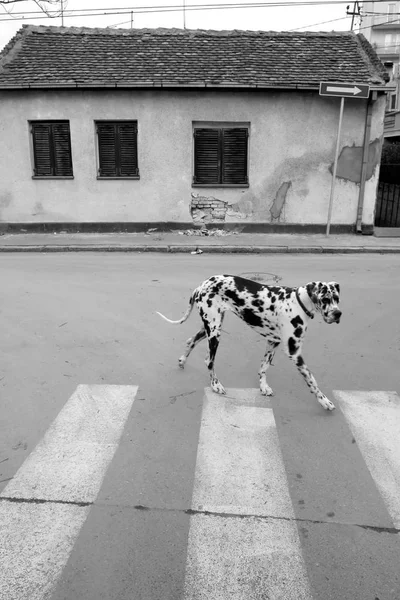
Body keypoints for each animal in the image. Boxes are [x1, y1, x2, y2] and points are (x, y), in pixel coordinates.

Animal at [156, 274, 340, 410]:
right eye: (325, 299)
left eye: (337, 298)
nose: (338, 314)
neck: (298, 303)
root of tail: (201, 285)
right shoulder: (294, 351)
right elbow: (312, 380)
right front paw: (324, 401)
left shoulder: (273, 342)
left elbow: (264, 367)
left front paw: (263, 387)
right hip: (214, 332)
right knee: (209, 361)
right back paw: (215, 385)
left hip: (210, 327)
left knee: (190, 340)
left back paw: (182, 360)